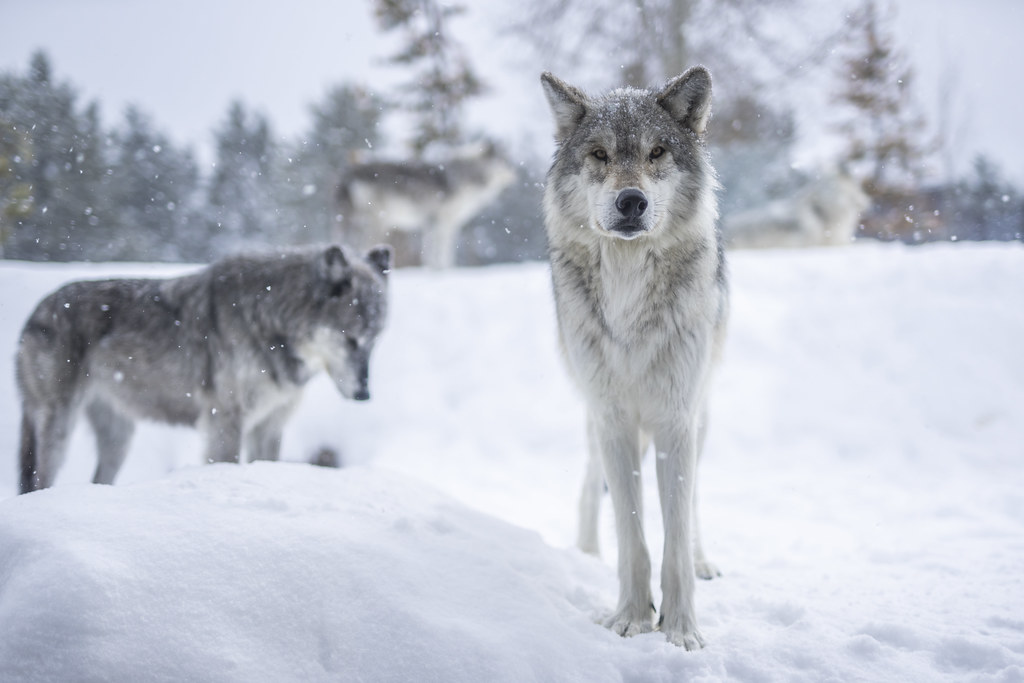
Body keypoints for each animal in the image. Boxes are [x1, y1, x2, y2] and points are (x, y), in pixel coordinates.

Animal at [17, 244, 392, 494]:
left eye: (375, 341)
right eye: (351, 340)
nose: (364, 394)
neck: (270, 320)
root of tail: (34, 314)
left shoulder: (269, 426)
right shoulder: (225, 421)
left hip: (118, 439)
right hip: (60, 428)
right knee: (39, 480)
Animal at [335, 144, 515, 269]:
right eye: (505, 161)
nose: (514, 174)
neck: (466, 176)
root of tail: (349, 173)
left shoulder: (430, 225)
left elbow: (429, 255)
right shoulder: (445, 223)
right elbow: (444, 254)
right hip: (378, 222)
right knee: (364, 246)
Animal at [541, 66, 728, 650]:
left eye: (657, 152)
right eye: (600, 155)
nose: (630, 202)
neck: (627, 288)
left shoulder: (675, 420)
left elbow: (674, 537)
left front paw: (682, 631)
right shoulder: (614, 419)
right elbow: (632, 533)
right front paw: (630, 618)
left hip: (701, 416)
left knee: (694, 508)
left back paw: (705, 560)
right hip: (594, 422)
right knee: (589, 490)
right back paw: (585, 554)